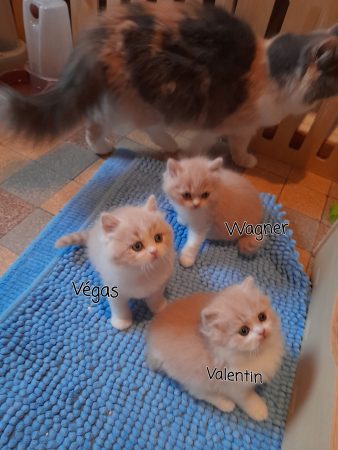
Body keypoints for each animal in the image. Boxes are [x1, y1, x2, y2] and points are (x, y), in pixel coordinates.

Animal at [0, 2, 338, 167]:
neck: (269, 71)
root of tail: (105, 26)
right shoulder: (219, 122)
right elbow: (215, 146)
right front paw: (210, 162)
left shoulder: (241, 126)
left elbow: (236, 143)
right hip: (141, 98)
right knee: (128, 125)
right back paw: (155, 145)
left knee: (96, 118)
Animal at [55, 196, 174, 330]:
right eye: (137, 246)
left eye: (158, 238)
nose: (154, 251)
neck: (141, 272)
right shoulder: (114, 290)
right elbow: (120, 309)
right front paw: (122, 322)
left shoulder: (158, 284)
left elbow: (155, 298)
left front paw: (159, 308)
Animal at [147, 278, 284, 422]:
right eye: (244, 331)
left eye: (262, 317)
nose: (262, 332)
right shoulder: (233, 385)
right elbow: (247, 398)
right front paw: (259, 410)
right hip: (194, 378)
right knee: (199, 393)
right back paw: (226, 404)